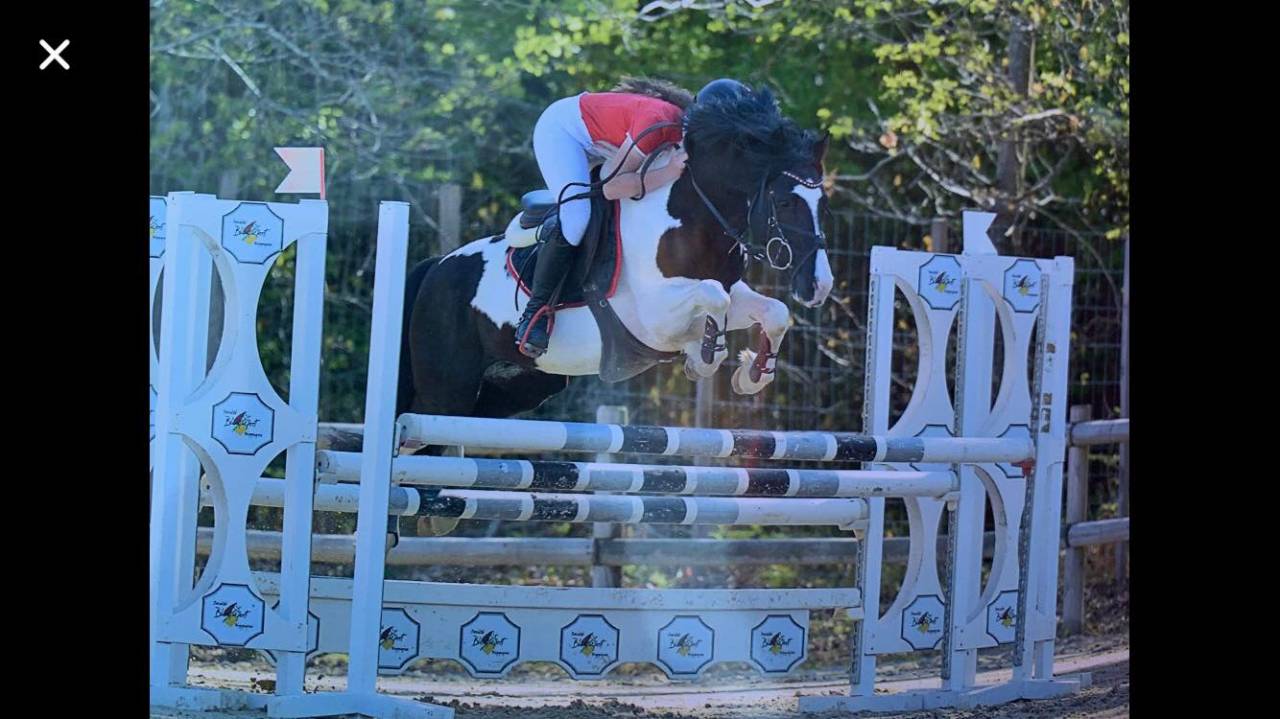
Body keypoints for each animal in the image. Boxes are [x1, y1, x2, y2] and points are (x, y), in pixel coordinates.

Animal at [397, 90, 833, 419]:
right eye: (787, 202)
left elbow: (773, 311)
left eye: (823, 203)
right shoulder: (654, 316)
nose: (819, 286)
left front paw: (750, 374)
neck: (691, 216)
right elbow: (713, 297)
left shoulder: (729, 291)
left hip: (519, 384)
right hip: (446, 391)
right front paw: (706, 356)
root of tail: (436, 267)